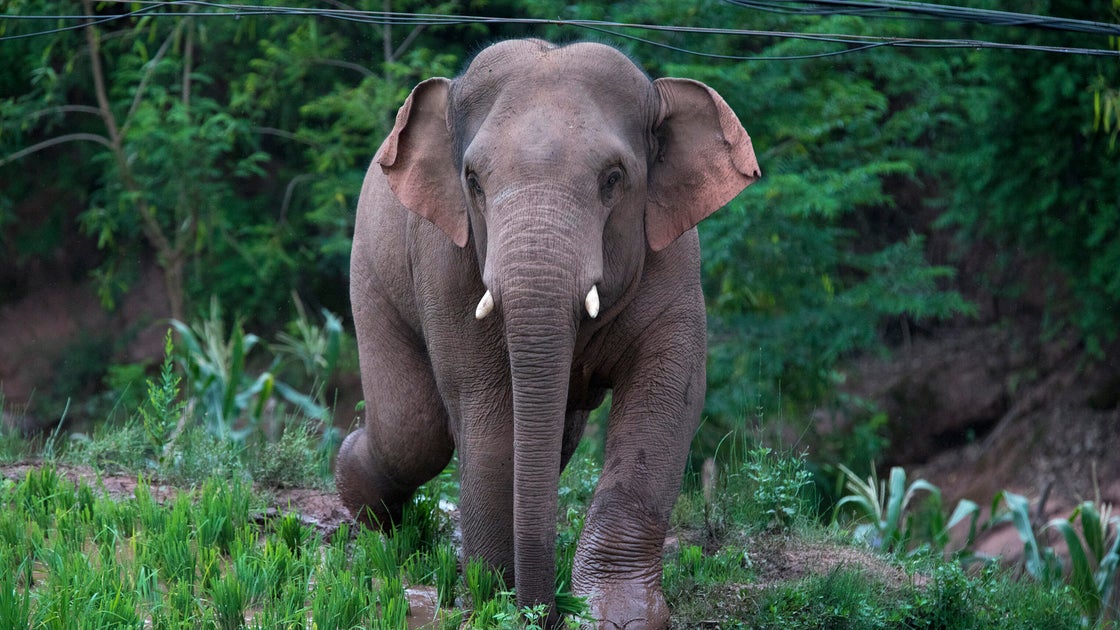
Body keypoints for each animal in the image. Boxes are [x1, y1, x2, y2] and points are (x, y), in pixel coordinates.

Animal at [335, 39, 759, 627]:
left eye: (613, 178)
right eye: (473, 180)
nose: (546, 612)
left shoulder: (674, 259)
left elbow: (668, 394)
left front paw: (615, 616)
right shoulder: (446, 262)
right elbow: (487, 408)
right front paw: (494, 601)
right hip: (370, 276)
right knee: (415, 433)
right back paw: (366, 505)